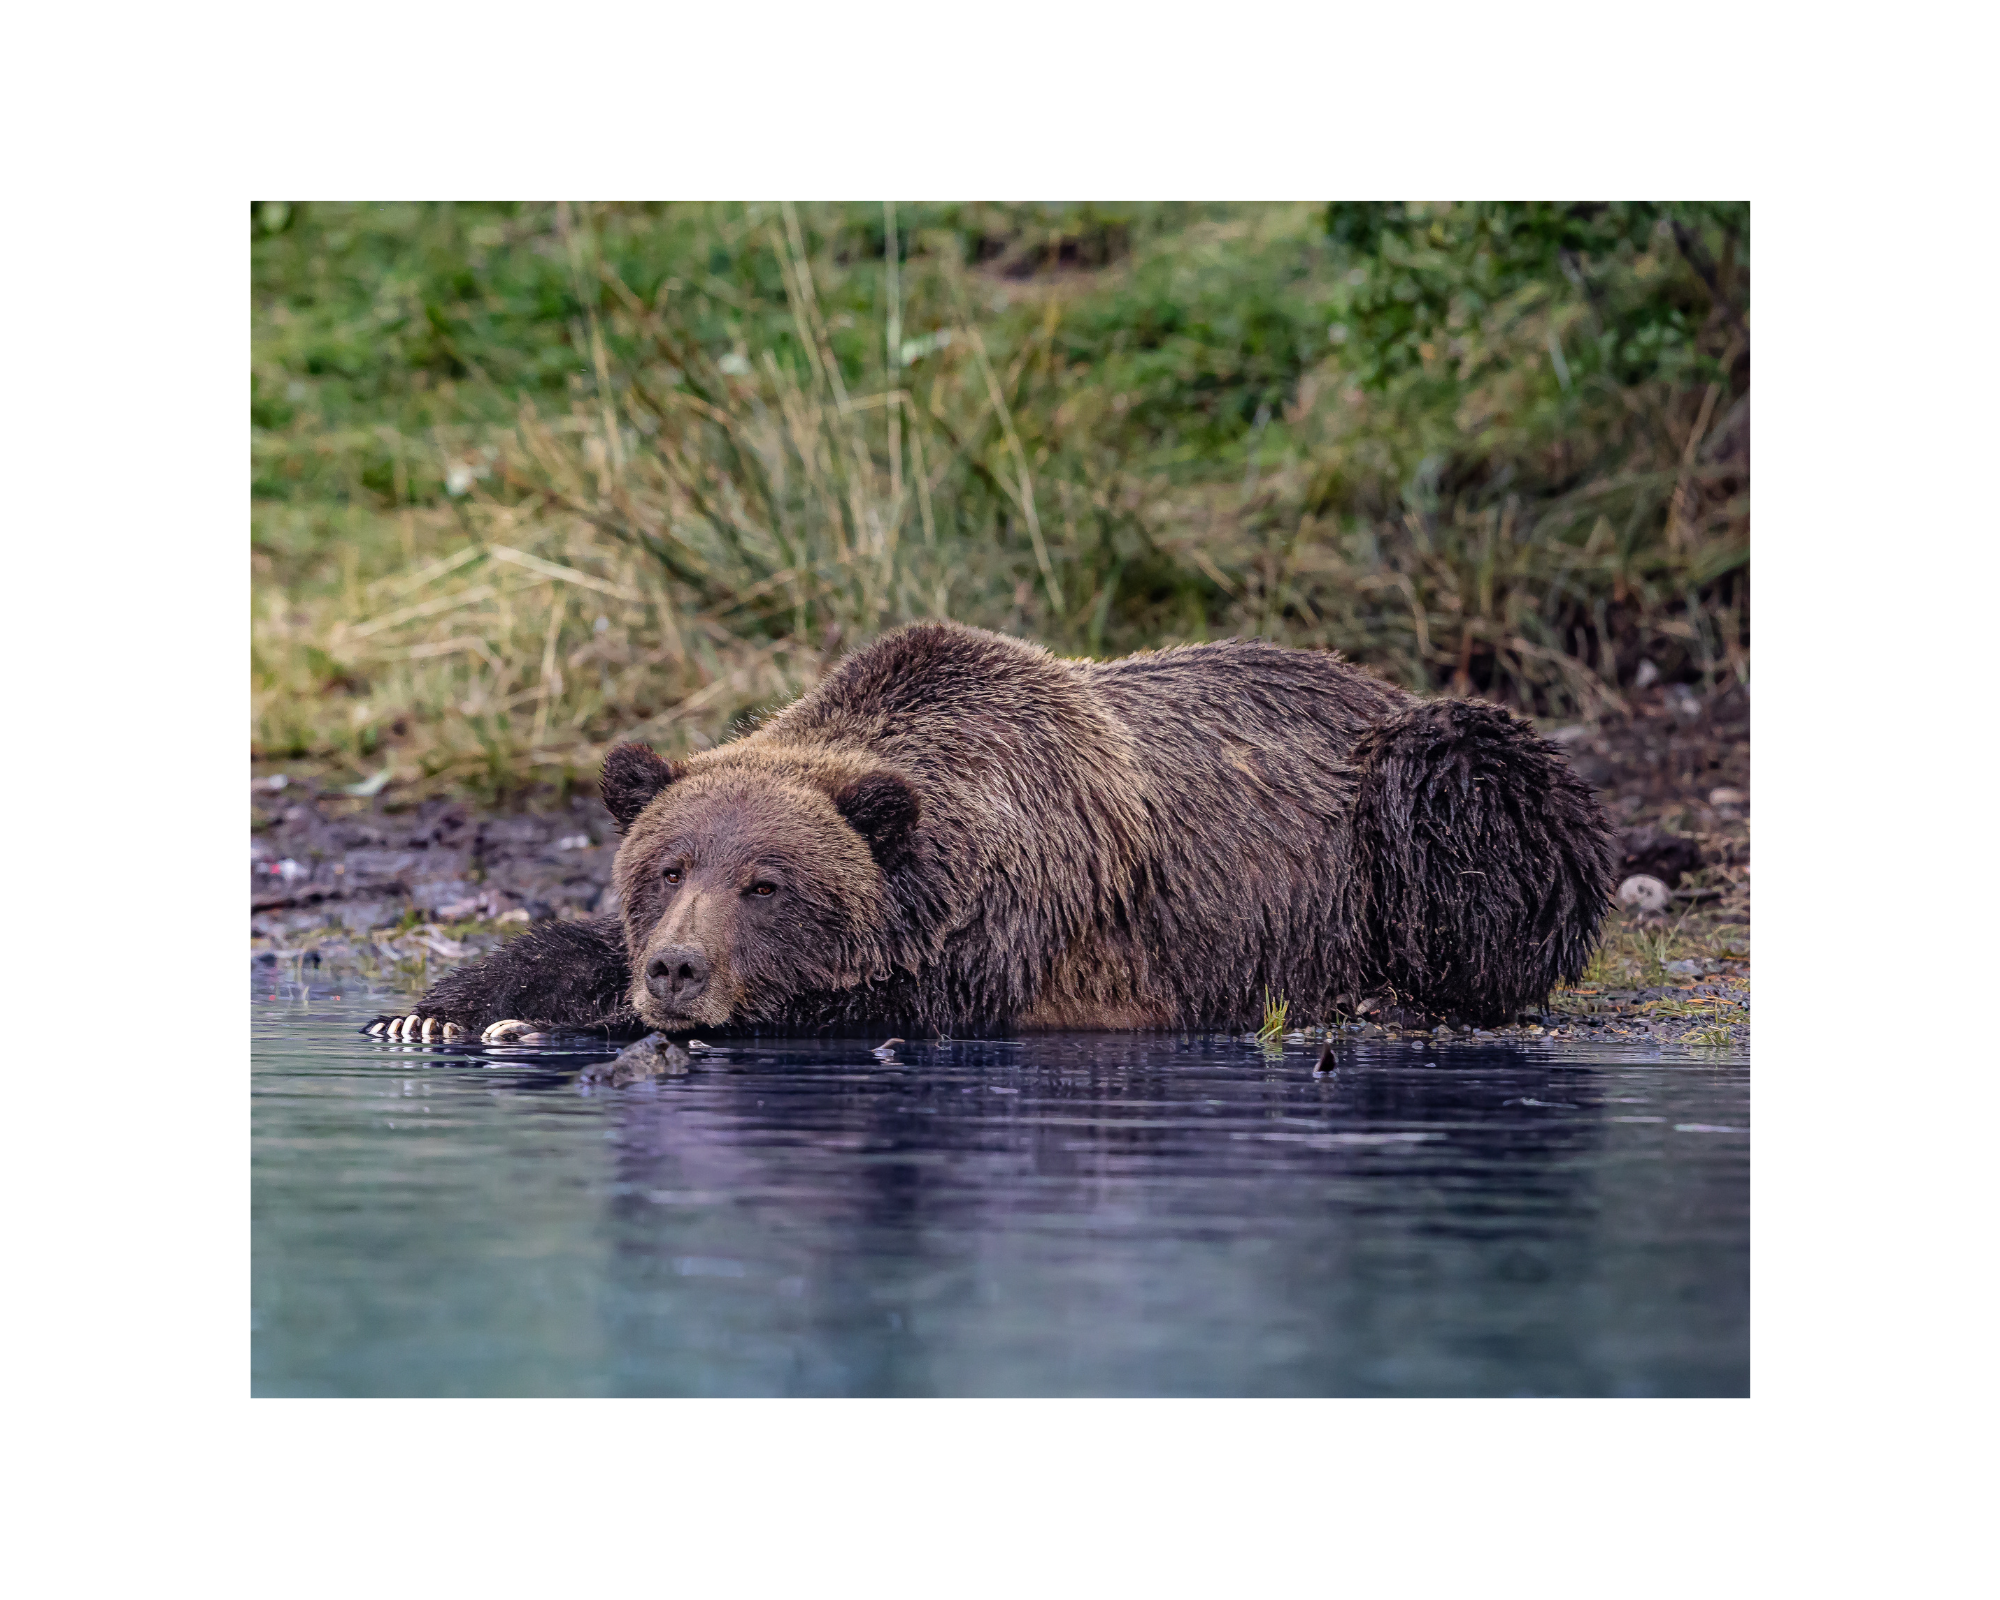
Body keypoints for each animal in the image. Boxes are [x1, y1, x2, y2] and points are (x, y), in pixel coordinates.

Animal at [368, 620, 1616, 1040]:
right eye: (665, 868)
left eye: (768, 883)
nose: (677, 968)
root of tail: (1369, 680)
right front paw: (436, 1008)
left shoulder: (1017, 934)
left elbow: (874, 1007)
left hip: (1412, 795)